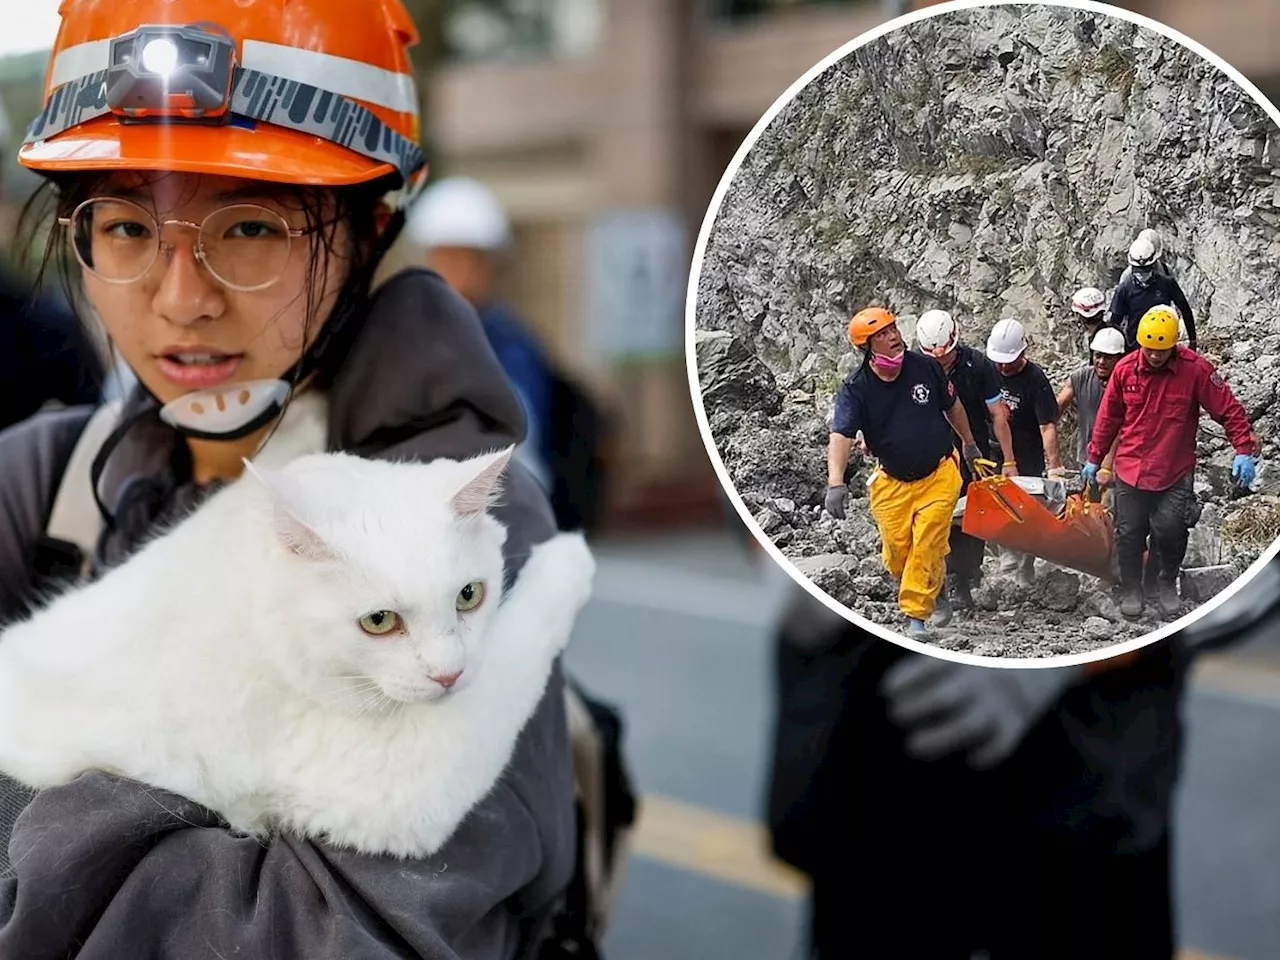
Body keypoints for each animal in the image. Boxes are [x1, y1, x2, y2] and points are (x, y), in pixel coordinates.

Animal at [0, 448, 593, 860]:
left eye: (470, 595)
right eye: (379, 621)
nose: (450, 674)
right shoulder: (399, 784)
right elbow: (518, 649)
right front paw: (571, 557)